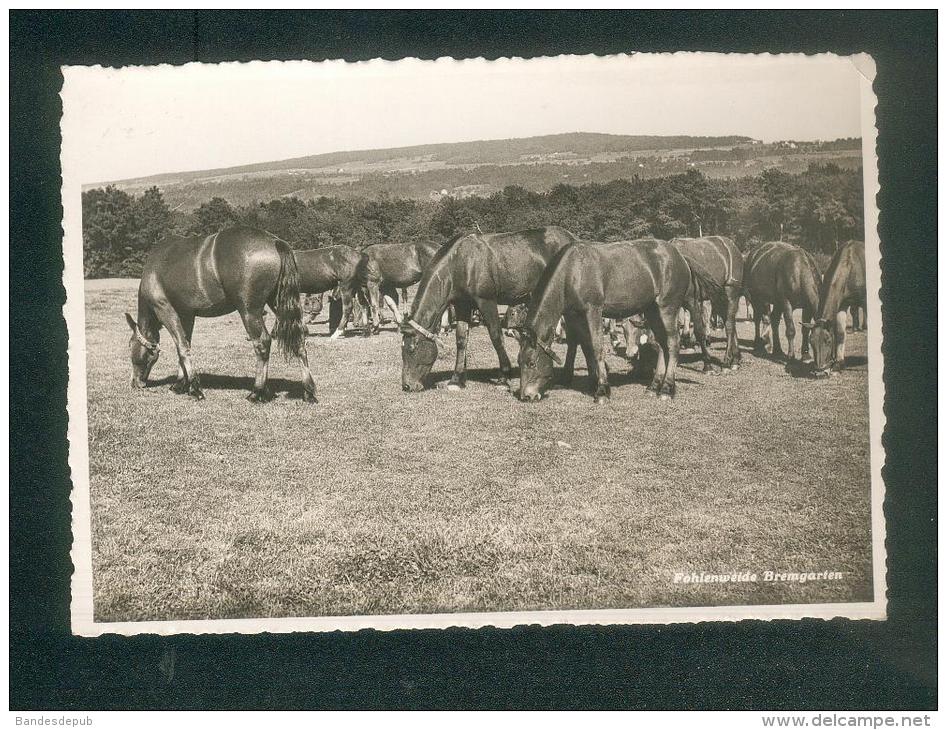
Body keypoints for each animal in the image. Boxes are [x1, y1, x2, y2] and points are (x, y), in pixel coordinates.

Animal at [124, 225, 318, 400]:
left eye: (131, 346)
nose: (135, 383)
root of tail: (274, 241)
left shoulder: (165, 309)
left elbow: (182, 346)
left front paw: (194, 388)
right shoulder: (187, 315)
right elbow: (186, 343)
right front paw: (181, 383)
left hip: (249, 311)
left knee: (262, 343)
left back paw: (257, 391)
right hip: (279, 305)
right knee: (299, 338)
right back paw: (308, 390)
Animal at [400, 226, 576, 392]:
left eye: (411, 349)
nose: (407, 386)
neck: (462, 263)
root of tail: (571, 237)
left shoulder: (486, 302)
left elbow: (496, 337)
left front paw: (503, 378)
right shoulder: (462, 305)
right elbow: (461, 340)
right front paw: (456, 380)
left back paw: (566, 376)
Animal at [520, 239, 720, 400]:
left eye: (531, 362)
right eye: (519, 362)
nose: (526, 396)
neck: (573, 271)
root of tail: (680, 256)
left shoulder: (593, 310)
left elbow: (597, 347)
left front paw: (602, 390)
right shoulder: (575, 316)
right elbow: (585, 346)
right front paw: (594, 382)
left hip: (667, 308)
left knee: (672, 343)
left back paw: (666, 389)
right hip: (653, 310)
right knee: (663, 344)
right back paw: (654, 386)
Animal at [672, 233, 744, 370]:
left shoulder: (693, 302)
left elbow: (699, 330)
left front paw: (707, 364)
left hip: (730, 293)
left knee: (729, 325)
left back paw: (727, 361)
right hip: (719, 299)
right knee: (730, 322)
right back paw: (736, 359)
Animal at [808, 239, 868, 376]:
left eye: (828, 341)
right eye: (811, 342)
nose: (819, 371)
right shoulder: (841, 305)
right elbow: (840, 333)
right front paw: (838, 363)